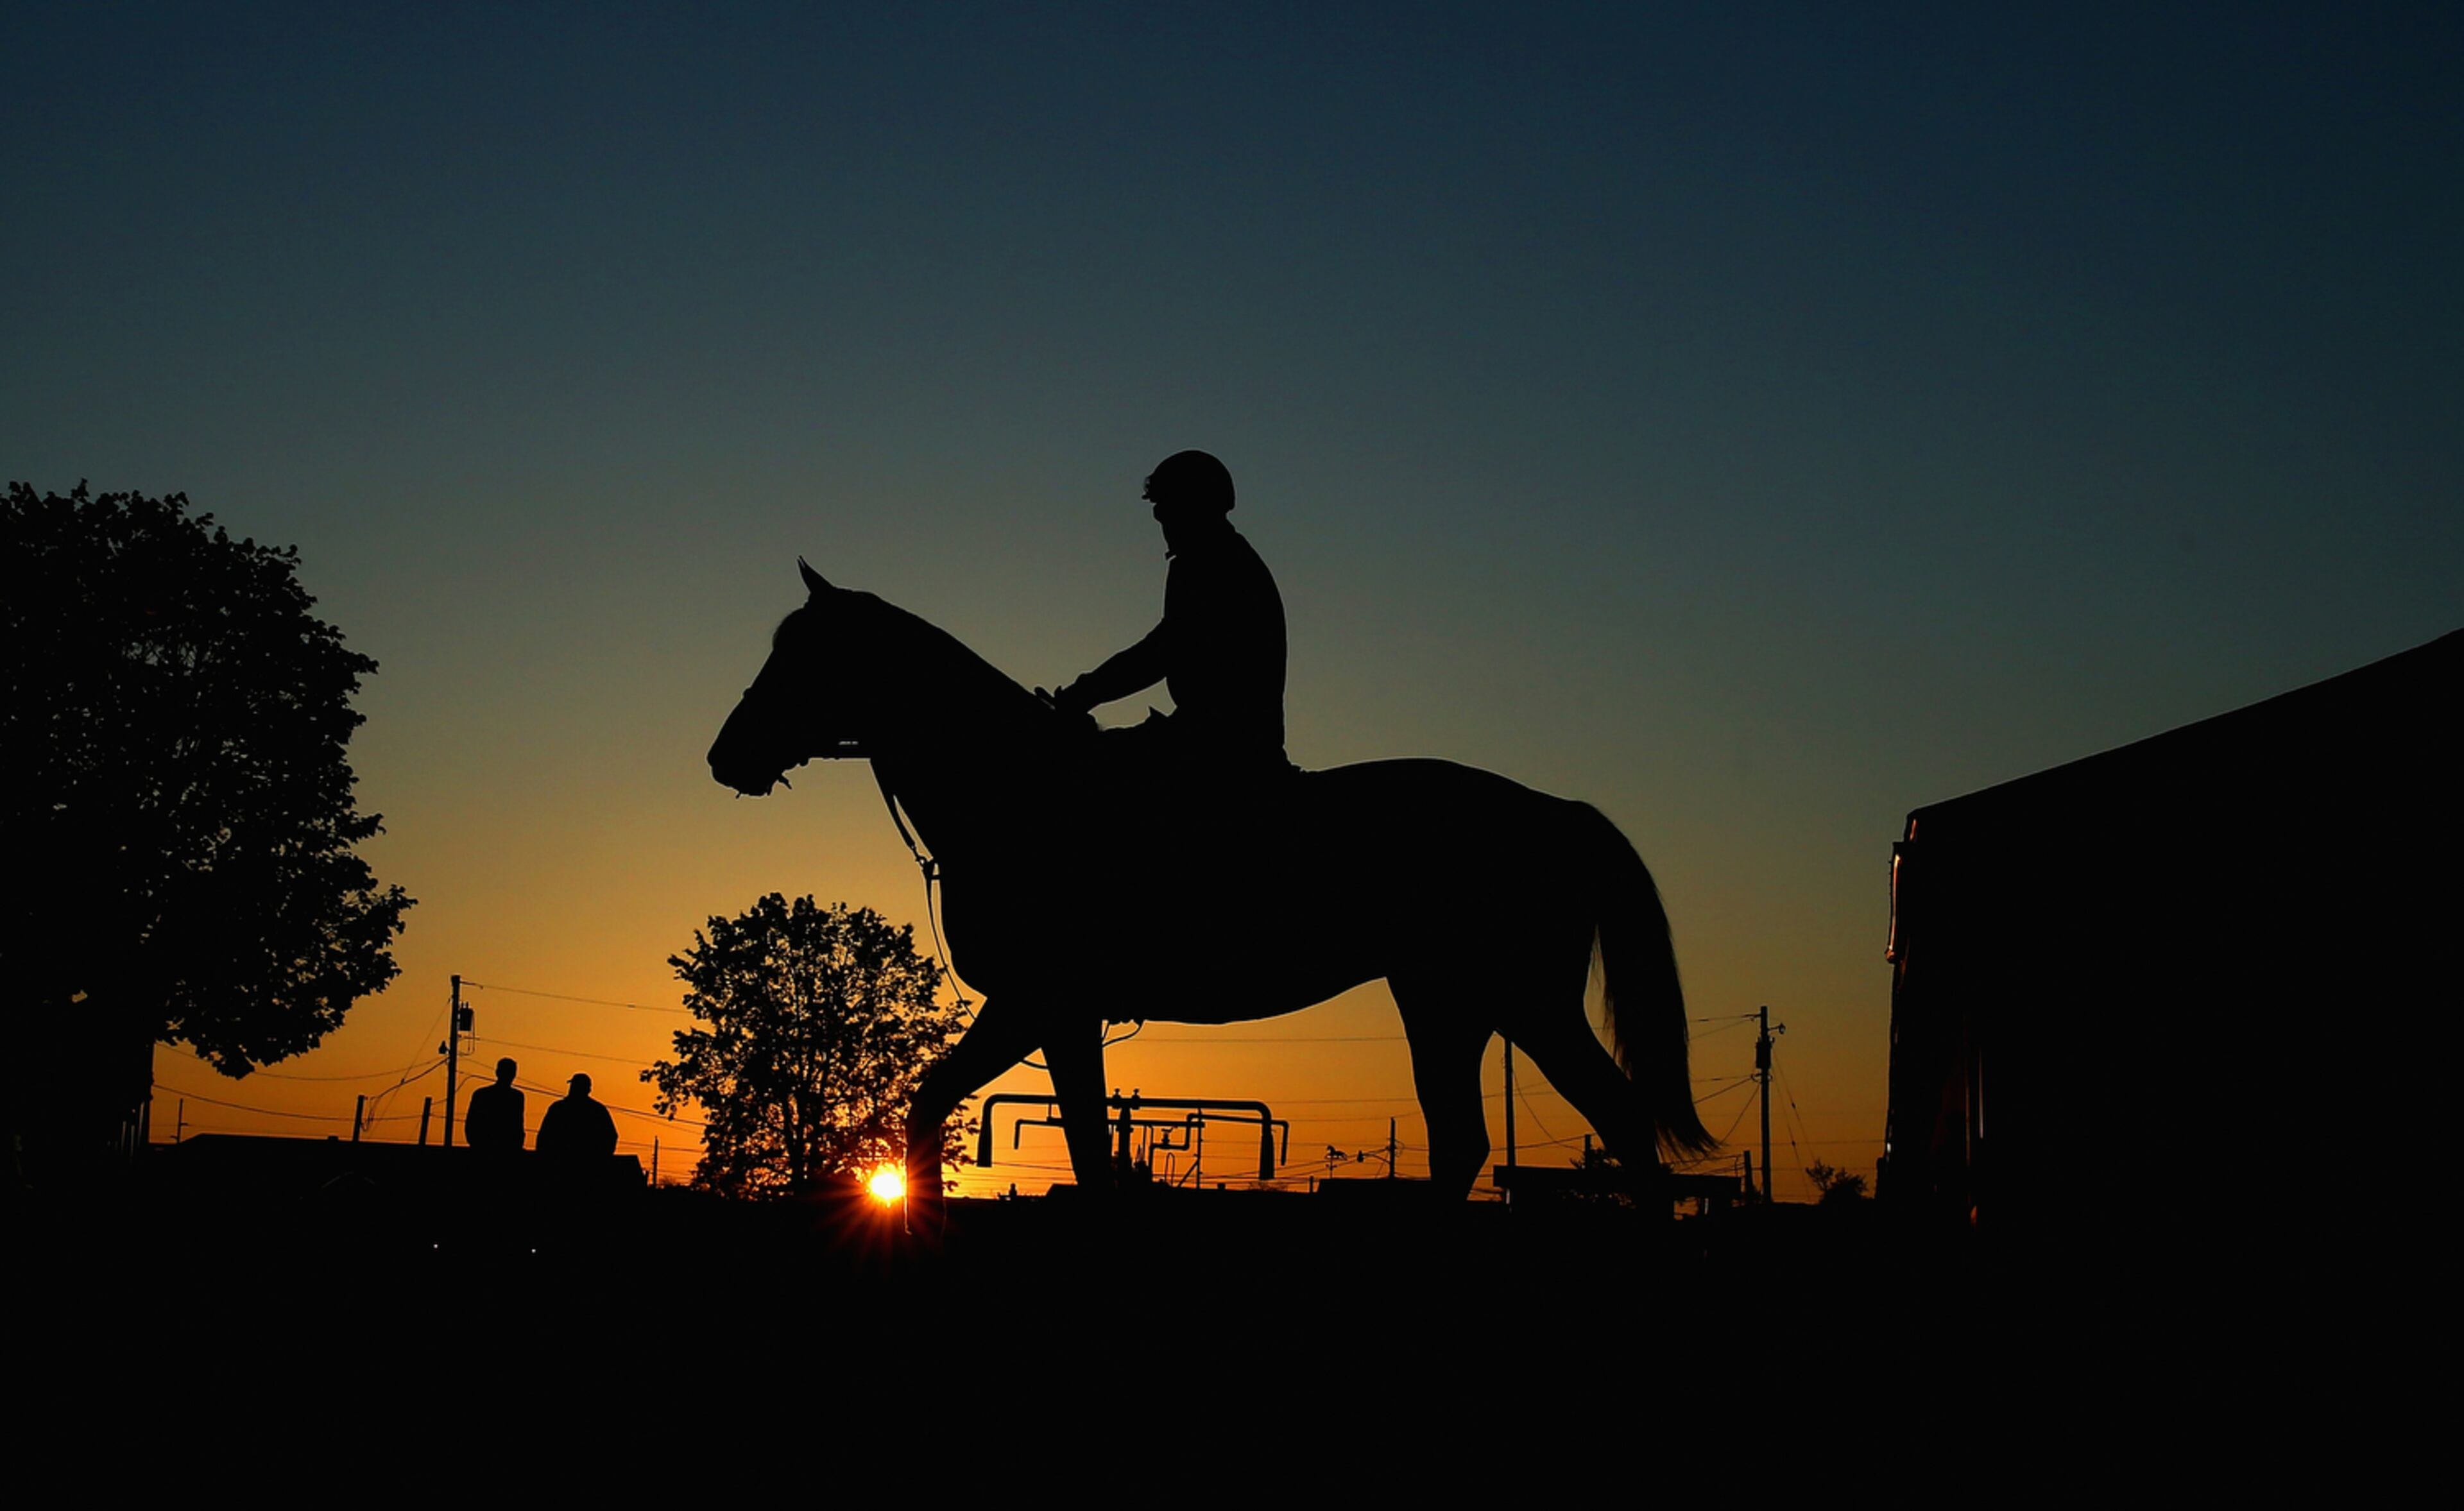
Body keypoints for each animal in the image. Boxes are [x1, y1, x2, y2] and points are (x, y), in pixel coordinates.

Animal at [707, 559, 1714, 1224]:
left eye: (803, 653)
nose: (726, 755)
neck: (1018, 788)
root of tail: (1556, 811)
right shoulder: (1038, 1007)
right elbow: (955, 1105)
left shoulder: (1046, 1001)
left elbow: (1078, 1138)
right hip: (1447, 1000)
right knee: (1467, 1135)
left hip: (1522, 999)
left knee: (1616, 1118)